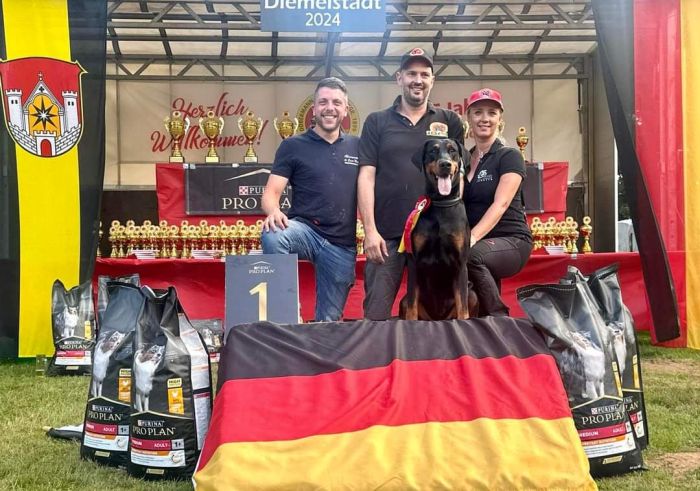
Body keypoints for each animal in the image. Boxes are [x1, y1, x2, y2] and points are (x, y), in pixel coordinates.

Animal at [399, 137, 477, 320]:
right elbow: (412, 307)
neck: (442, 204)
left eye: (452, 150)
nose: (445, 164)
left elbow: (463, 309)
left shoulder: (460, 264)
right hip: (403, 301)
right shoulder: (414, 262)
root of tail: (437, 318)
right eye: (433, 151)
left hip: (472, 295)